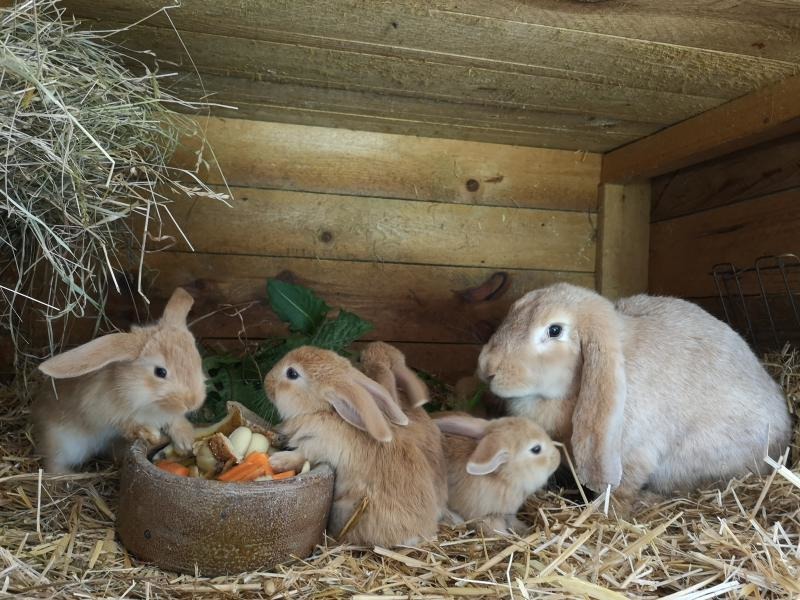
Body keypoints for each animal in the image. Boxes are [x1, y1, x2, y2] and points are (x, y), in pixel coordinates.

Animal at [32, 288, 206, 476]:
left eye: (197, 360)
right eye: (160, 372)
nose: (193, 402)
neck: (145, 394)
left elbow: (175, 421)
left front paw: (185, 441)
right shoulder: (103, 410)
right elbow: (128, 424)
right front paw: (150, 433)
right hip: (65, 444)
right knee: (52, 462)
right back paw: (67, 474)